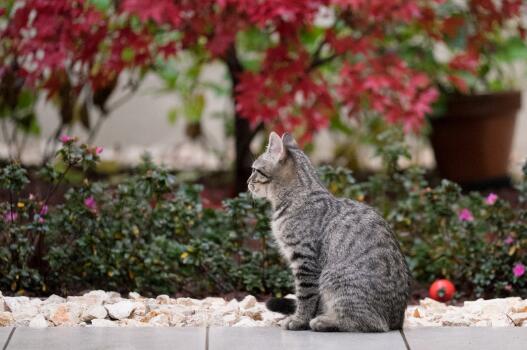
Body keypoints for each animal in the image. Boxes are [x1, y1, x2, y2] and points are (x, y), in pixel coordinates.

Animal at [248, 133, 412, 332]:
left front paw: (299, 320)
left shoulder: (305, 260)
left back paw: (325, 321)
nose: (247, 182)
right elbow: (313, 300)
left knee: (370, 323)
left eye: (255, 170)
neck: (298, 196)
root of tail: (398, 321)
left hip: (332, 276)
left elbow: (305, 296)